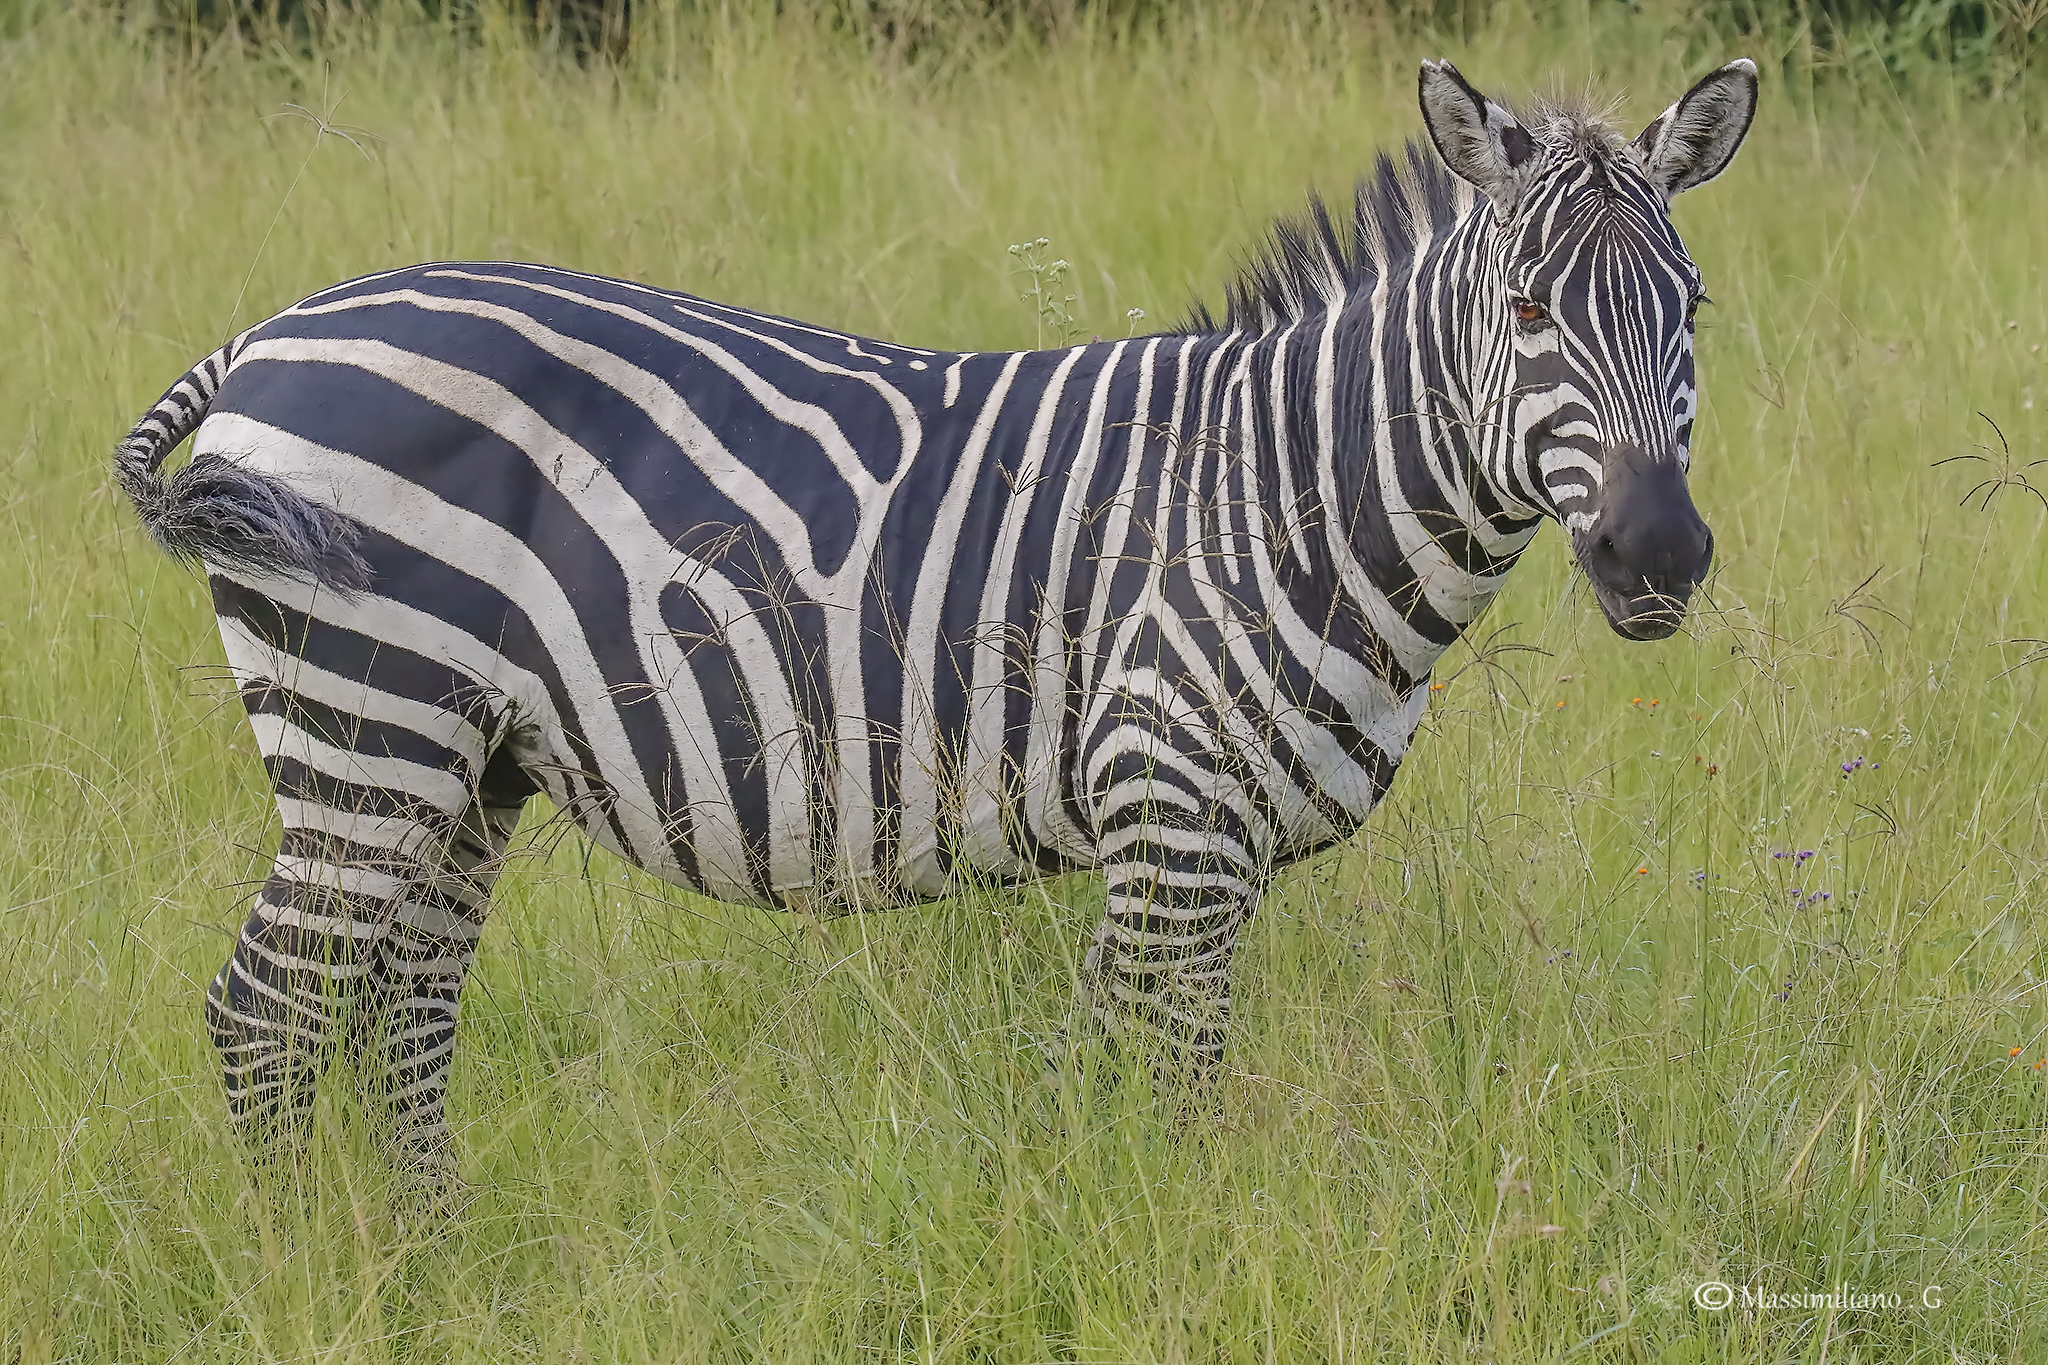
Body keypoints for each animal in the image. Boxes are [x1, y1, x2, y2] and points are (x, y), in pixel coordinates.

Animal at [114, 59, 1757, 1176]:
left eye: (1692, 311)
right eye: (1528, 316)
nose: (1658, 555)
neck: (1279, 493)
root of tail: (270, 334)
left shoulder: (1189, 854)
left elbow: (1099, 1071)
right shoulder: (1172, 825)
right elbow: (1171, 1093)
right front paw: (1166, 1255)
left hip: (468, 766)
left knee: (397, 1009)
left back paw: (428, 1264)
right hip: (371, 721)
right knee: (267, 1014)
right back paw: (310, 1275)